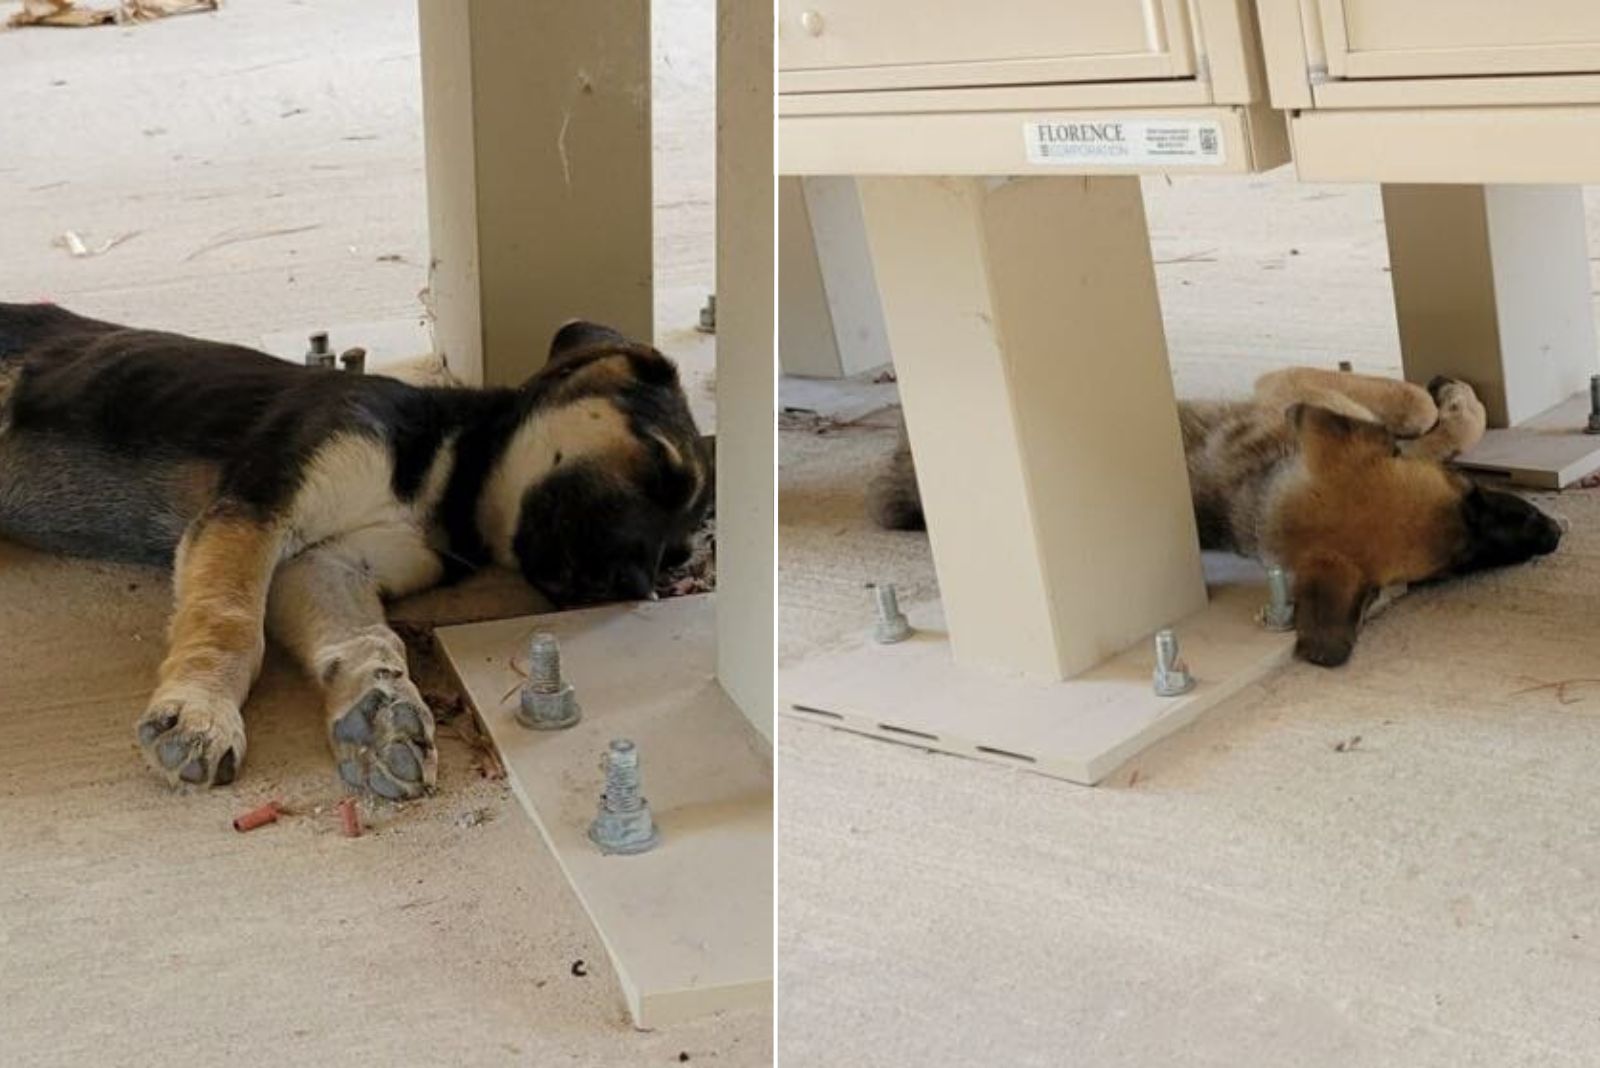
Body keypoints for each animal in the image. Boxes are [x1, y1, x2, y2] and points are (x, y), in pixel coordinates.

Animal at [0, 300, 713, 793]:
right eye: (660, 465)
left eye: (677, 557)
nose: (632, 589)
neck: (448, 478)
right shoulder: (258, 505)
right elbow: (231, 622)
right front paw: (201, 713)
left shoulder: (323, 560)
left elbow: (364, 636)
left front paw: (380, 713)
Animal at [876, 367, 1561, 668]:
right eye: (1446, 570)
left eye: (1472, 496)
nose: (1555, 535)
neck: (1256, 491)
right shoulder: (1290, 385)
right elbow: (1422, 409)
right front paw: (1452, 401)